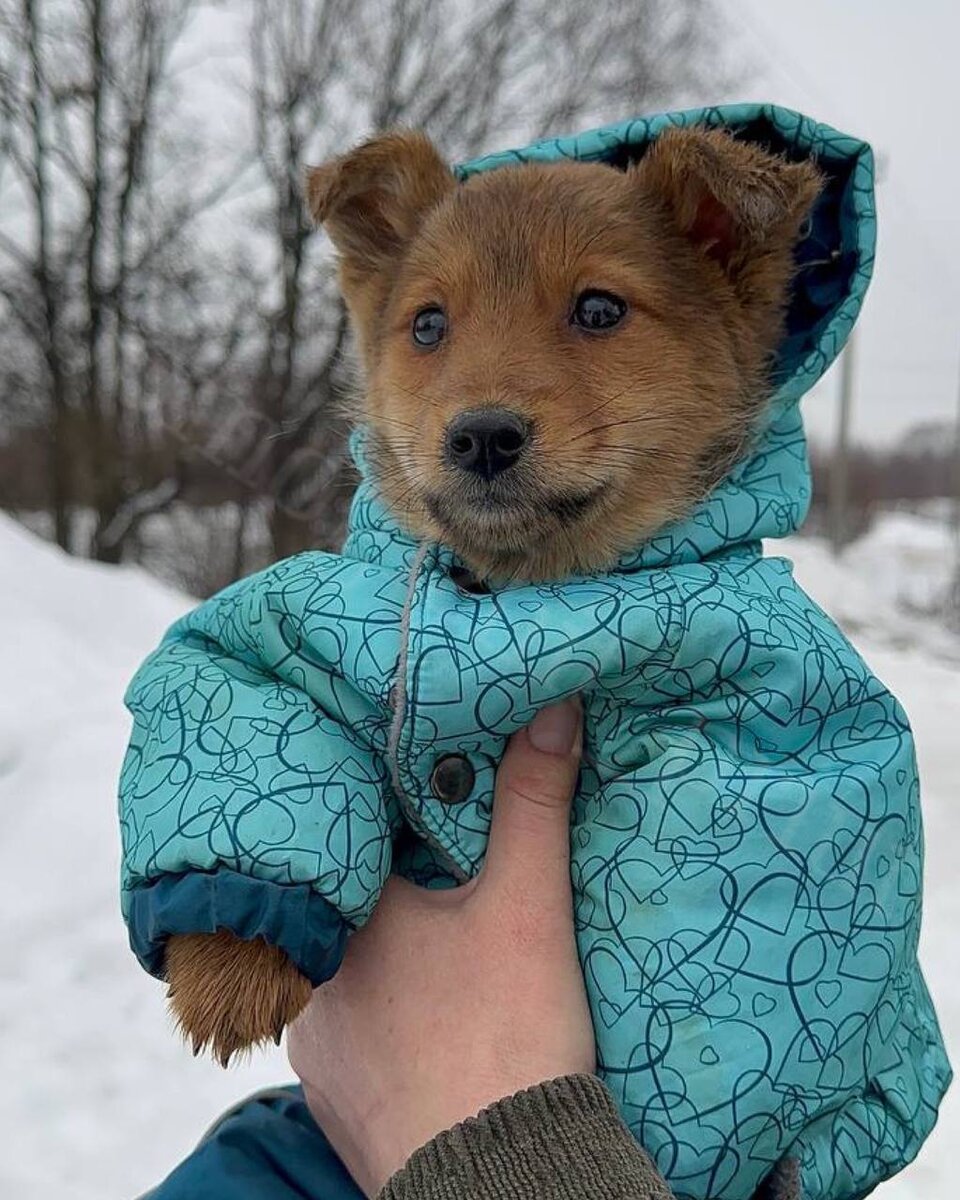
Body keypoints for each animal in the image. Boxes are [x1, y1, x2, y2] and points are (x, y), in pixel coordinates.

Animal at [163, 121, 816, 1060]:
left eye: (600, 310)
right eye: (429, 323)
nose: (480, 436)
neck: (510, 592)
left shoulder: (755, 723)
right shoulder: (294, 635)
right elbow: (250, 719)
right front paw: (230, 963)